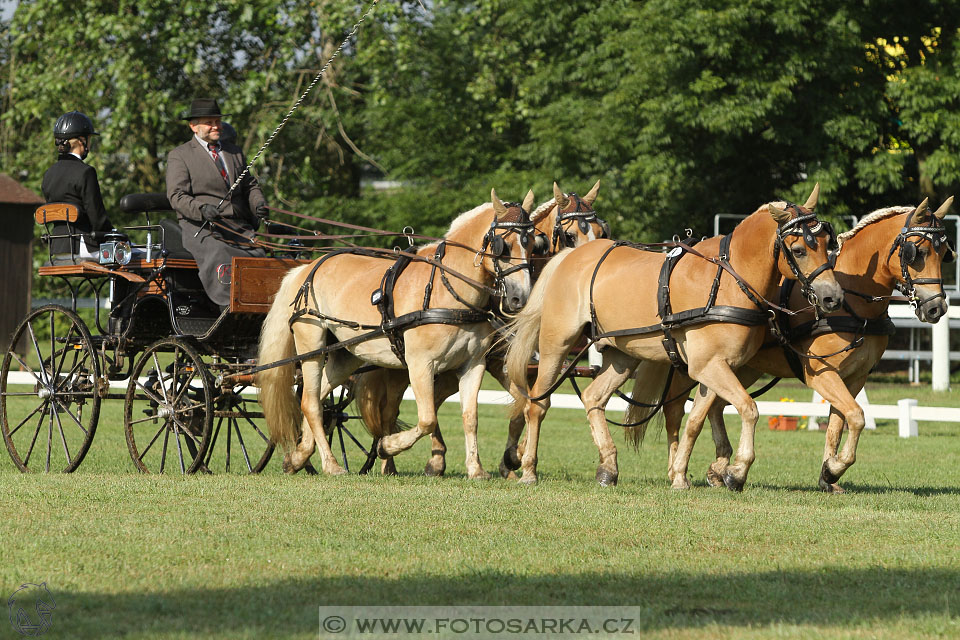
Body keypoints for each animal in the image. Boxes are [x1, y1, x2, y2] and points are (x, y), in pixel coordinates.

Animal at [255, 188, 536, 478]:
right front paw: (387, 446)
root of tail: (307, 268)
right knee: (310, 403)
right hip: (312, 345)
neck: (447, 290)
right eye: (503, 245)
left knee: (321, 399)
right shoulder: (420, 364)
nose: (520, 298)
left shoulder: (473, 364)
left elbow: (470, 418)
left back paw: (298, 457)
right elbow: (427, 419)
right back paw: (330, 464)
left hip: (346, 354)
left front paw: (475, 469)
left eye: (532, 244)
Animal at [352, 179, 608, 476]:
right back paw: (393, 458)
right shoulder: (495, 362)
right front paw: (511, 457)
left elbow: (525, 404)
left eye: (601, 231)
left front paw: (512, 458)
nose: (589, 267)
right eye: (570, 236)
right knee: (392, 409)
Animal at [506, 188, 844, 488]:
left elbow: (694, 422)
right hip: (556, 346)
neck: (728, 281)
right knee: (538, 403)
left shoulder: (712, 369)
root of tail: (568, 256)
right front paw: (736, 472)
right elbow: (749, 409)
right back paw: (528, 470)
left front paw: (680, 475)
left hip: (622, 356)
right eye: (799, 250)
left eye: (827, 244)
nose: (833, 297)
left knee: (593, 398)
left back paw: (608, 468)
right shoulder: (709, 366)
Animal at [632, 198, 956, 492]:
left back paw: (719, 468)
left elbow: (839, 425)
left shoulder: (854, 377)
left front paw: (829, 475)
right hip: (695, 367)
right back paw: (682, 472)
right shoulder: (821, 375)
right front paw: (834, 468)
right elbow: (856, 416)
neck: (853, 301)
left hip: (741, 367)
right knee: (677, 412)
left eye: (945, 253)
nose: (936, 308)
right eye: (918, 252)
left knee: (716, 406)